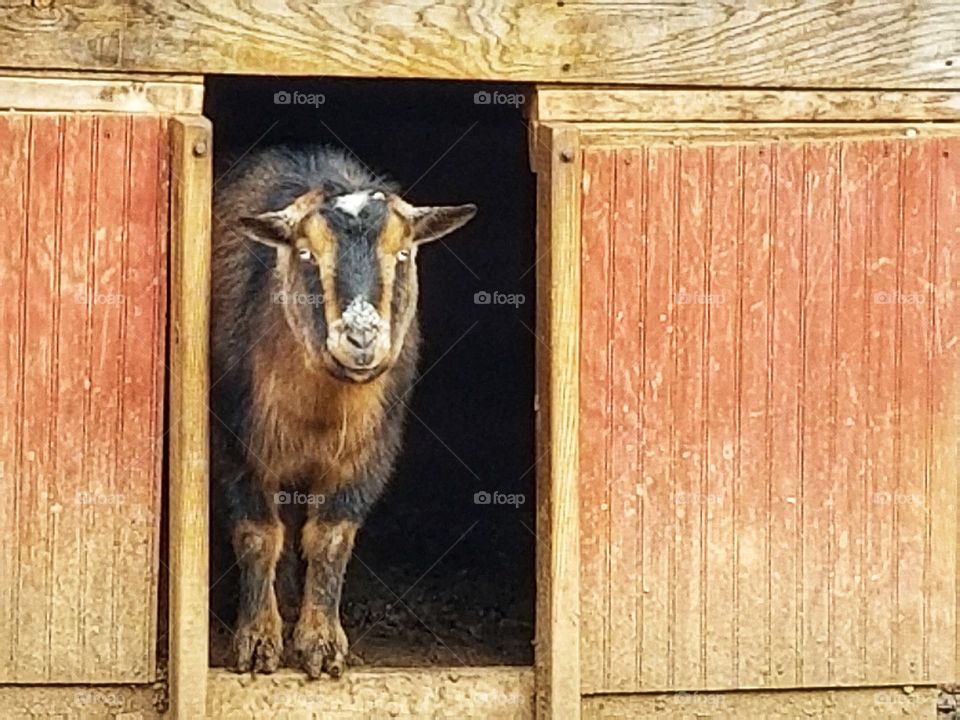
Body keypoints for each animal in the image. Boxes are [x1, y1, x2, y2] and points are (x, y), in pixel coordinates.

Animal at [209, 146, 476, 678]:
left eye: (402, 253)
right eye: (306, 253)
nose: (360, 339)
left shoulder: (368, 454)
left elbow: (330, 539)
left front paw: (321, 644)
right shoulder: (235, 443)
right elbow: (257, 535)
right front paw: (257, 643)